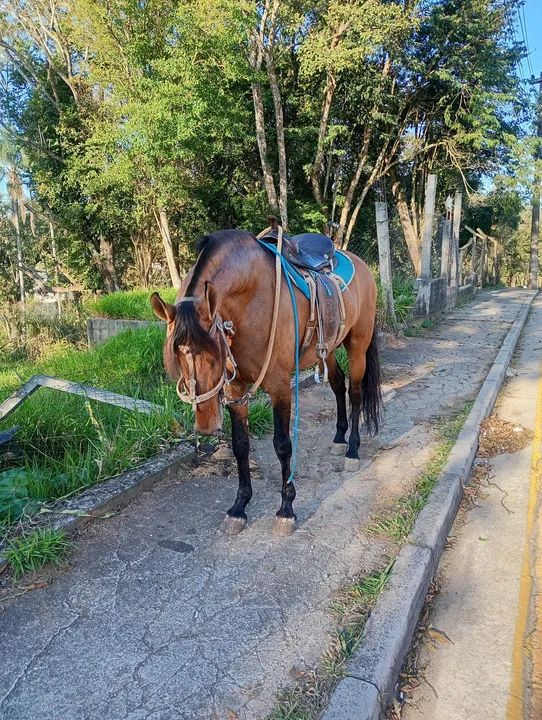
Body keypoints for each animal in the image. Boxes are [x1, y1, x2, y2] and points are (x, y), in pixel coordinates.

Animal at [151, 228, 381, 536]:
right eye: (176, 356)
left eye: (213, 354)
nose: (206, 425)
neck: (250, 299)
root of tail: (362, 264)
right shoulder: (235, 388)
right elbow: (240, 446)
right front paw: (239, 507)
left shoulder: (280, 386)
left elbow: (282, 445)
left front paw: (286, 508)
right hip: (329, 348)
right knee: (337, 384)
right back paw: (338, 438)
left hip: (358, 344)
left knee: (354, 392)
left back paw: (353, 449)